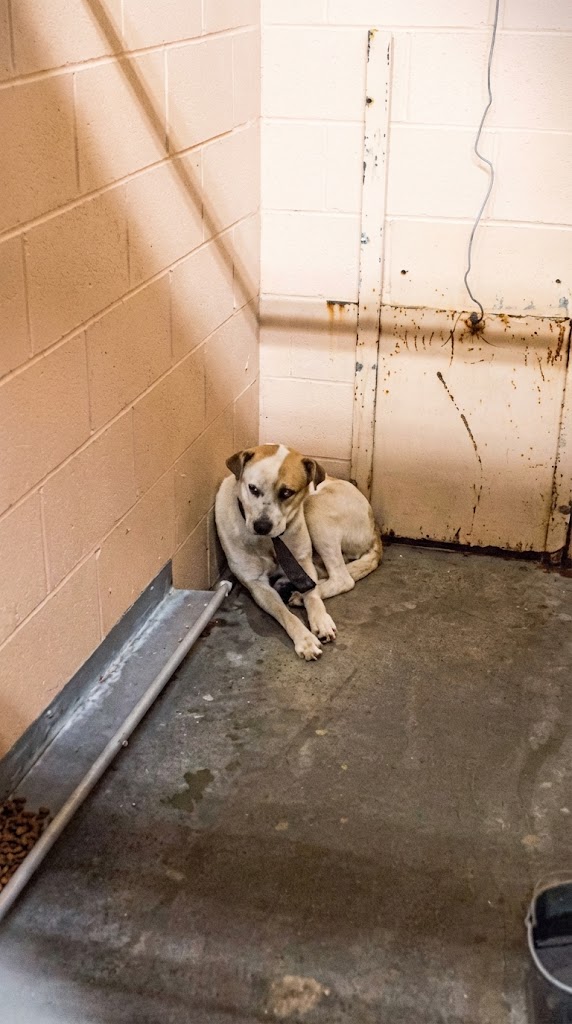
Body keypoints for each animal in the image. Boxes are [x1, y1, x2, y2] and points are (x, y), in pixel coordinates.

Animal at [215, 444, 382, 660]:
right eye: (253, 488)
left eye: (287, 493)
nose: (261, 526)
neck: (271, 542)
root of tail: (375, 528)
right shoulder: (256, 583)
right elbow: (284, 613)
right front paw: (305, 639)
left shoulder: (303, 562)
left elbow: (313, 596)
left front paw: (320, 619)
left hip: (315, 509)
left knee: (342, 578)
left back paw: (300, 596)